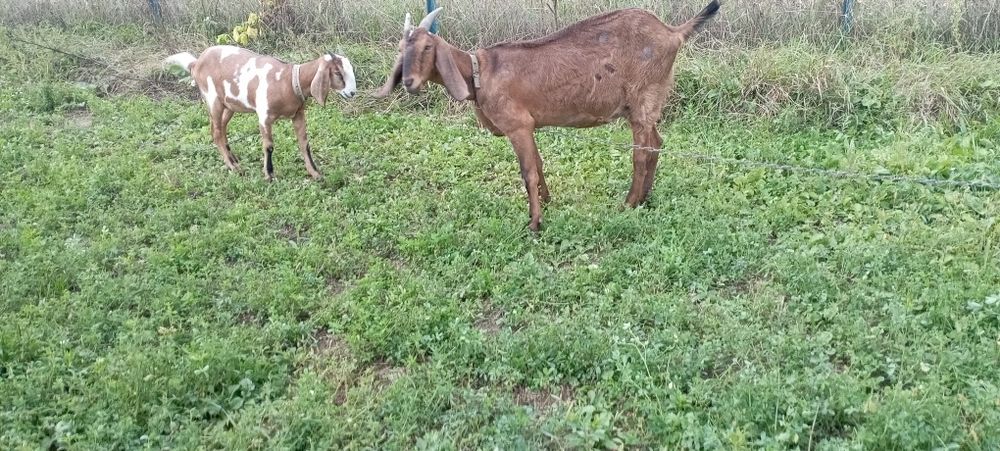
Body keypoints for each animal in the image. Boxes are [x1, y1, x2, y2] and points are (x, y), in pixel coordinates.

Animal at [165, 46, 357, 181]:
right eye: (338, 73)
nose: (352, 93)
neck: (287, 80)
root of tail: (195, 63)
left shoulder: (298, 114)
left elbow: (304, 143)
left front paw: (315, 173)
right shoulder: (264, 116)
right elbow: (268, 146)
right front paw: (269, 175)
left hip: (230, 104)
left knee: (221, 129)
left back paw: (234, 160)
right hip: (213, 100)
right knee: (217, 133)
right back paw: (235, 168)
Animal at [375, 2, 720, 232]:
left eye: (427, 46)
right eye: (402, 49)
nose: (409, 83)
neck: (479, 72)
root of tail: (673, 33)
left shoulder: (518, 125)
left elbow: (527, 172)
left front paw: (535, 222)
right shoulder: (529, 126)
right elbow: (539, 163)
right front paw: (549, 200)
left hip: (642, 98)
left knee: (642, 152)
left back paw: (630, 203)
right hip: (651, 100)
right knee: (657, 143)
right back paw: (645, 198)